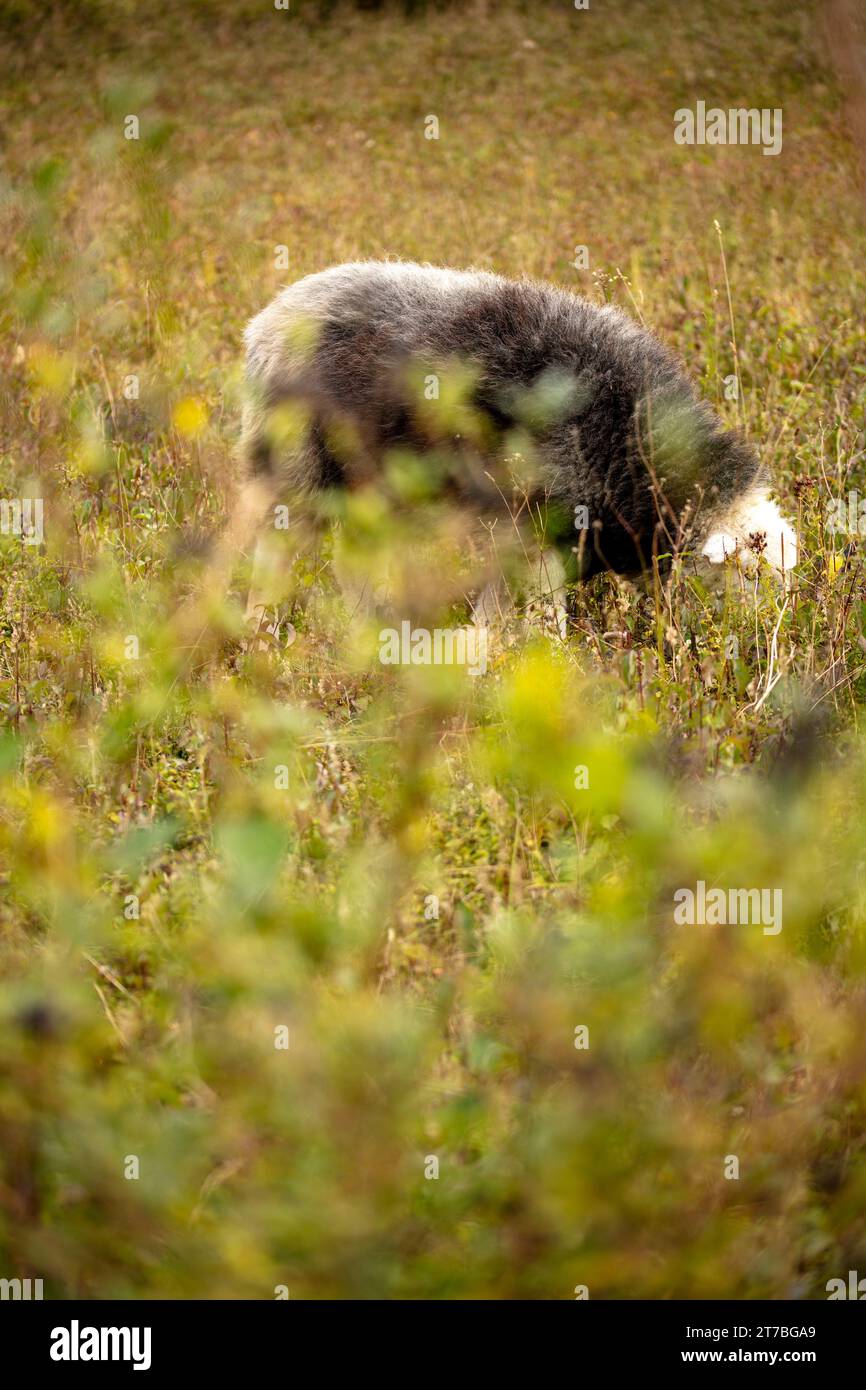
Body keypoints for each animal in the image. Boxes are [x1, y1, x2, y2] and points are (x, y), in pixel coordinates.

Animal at [239, 258, 800, 628]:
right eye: (744, 579)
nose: (764, 646)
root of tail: (269, 317)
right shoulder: (527, 528)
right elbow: (531, 614)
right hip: (298, 467)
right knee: (277, 551)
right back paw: (257, 628)